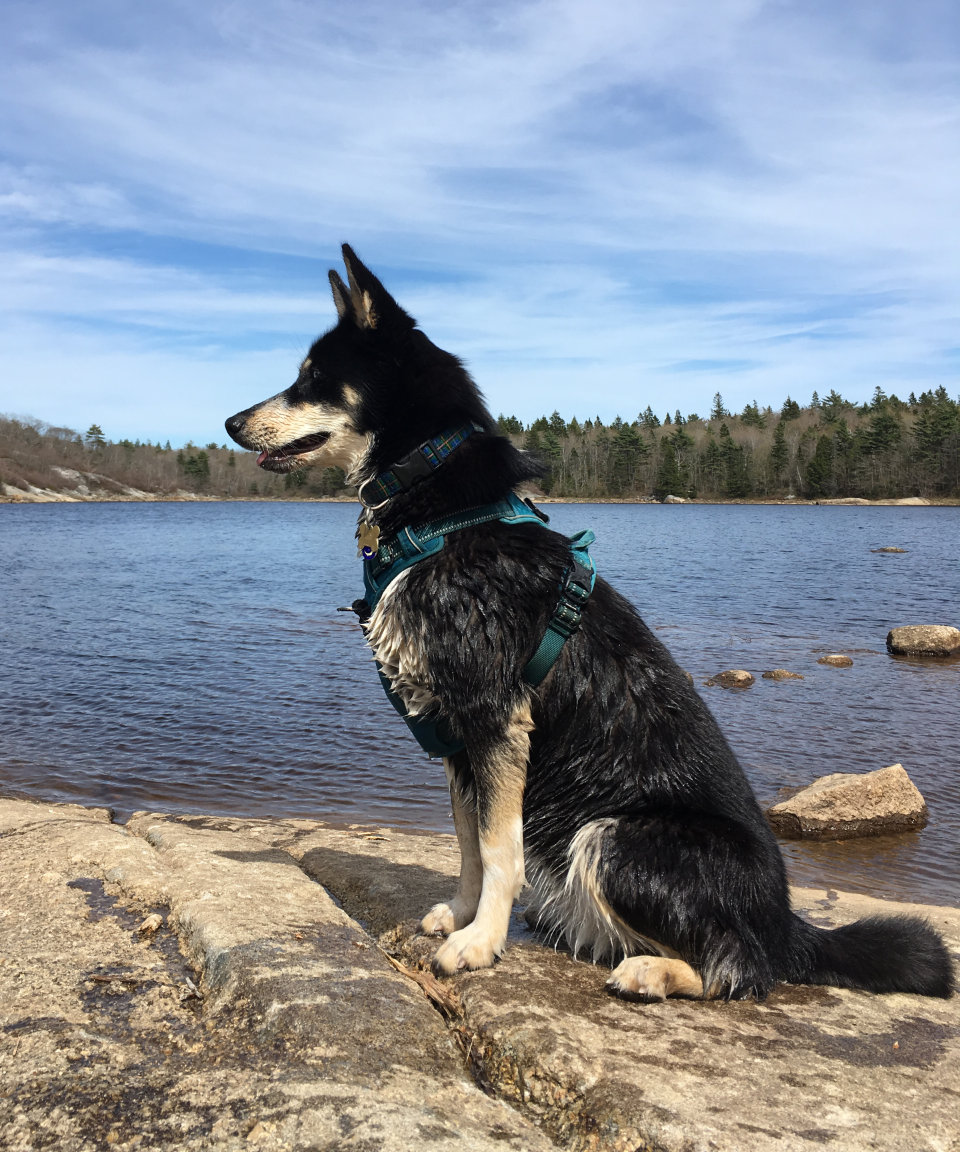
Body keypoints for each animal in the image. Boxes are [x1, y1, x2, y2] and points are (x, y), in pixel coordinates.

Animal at [227, 247, 949, 1004]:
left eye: (313, 378)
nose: (229, 424)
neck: (442, 510)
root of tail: (789, 926)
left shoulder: (495, 716)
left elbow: (499, 847)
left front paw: (480, 942)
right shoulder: (457, 732)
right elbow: (466, 841)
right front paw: (460, 913)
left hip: (615, 838)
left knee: (742, 968)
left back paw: (652, 971)